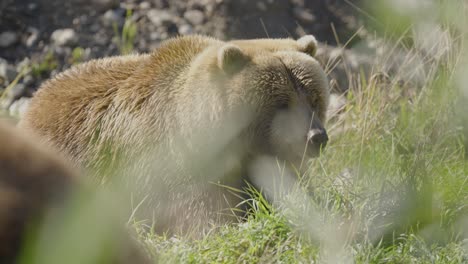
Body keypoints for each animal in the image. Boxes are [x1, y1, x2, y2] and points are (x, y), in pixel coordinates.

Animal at [20, 34, 330, 235]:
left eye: (314, 98)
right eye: (282, 103)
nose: (316, 137)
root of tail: (34, 104)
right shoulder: (174, 166)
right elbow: (202, 217)